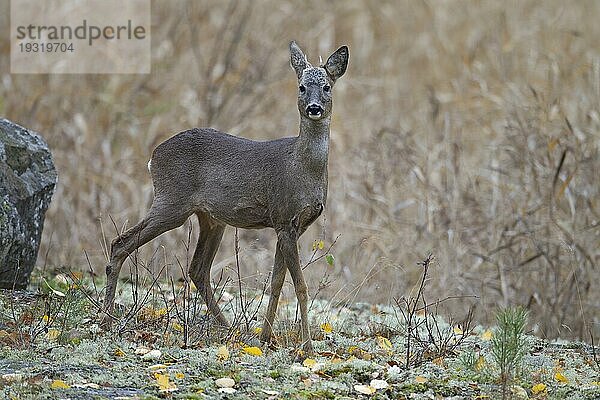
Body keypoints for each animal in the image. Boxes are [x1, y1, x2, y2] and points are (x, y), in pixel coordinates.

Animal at [101, 40, 350, 354]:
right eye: (302, 87)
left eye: (327, 86)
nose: (314, 108)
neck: (303, 169)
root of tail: (153, 156)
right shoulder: (284, 216)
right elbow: (301, 287)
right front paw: (306, 348)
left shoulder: (290, 225)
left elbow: (277, 283)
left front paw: (266, 338)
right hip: (171, 202)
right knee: (120, 243)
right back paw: (106, 321)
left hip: (209, 218)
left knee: (197, 268)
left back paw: (231, 328)